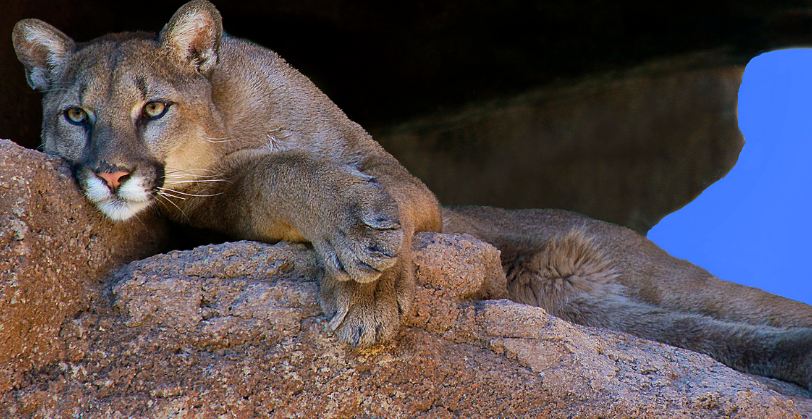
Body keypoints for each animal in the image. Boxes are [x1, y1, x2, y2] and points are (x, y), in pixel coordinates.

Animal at [12, 0, 812, 390]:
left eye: (153, 108)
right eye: (76, 116)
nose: (112, 175)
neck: (233, 121)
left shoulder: (397, 171)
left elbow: (385, 202)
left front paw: (371, 287)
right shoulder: (206, 212)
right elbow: (273, 177)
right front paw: (357, 262)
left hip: (656, 276)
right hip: (595, 309)